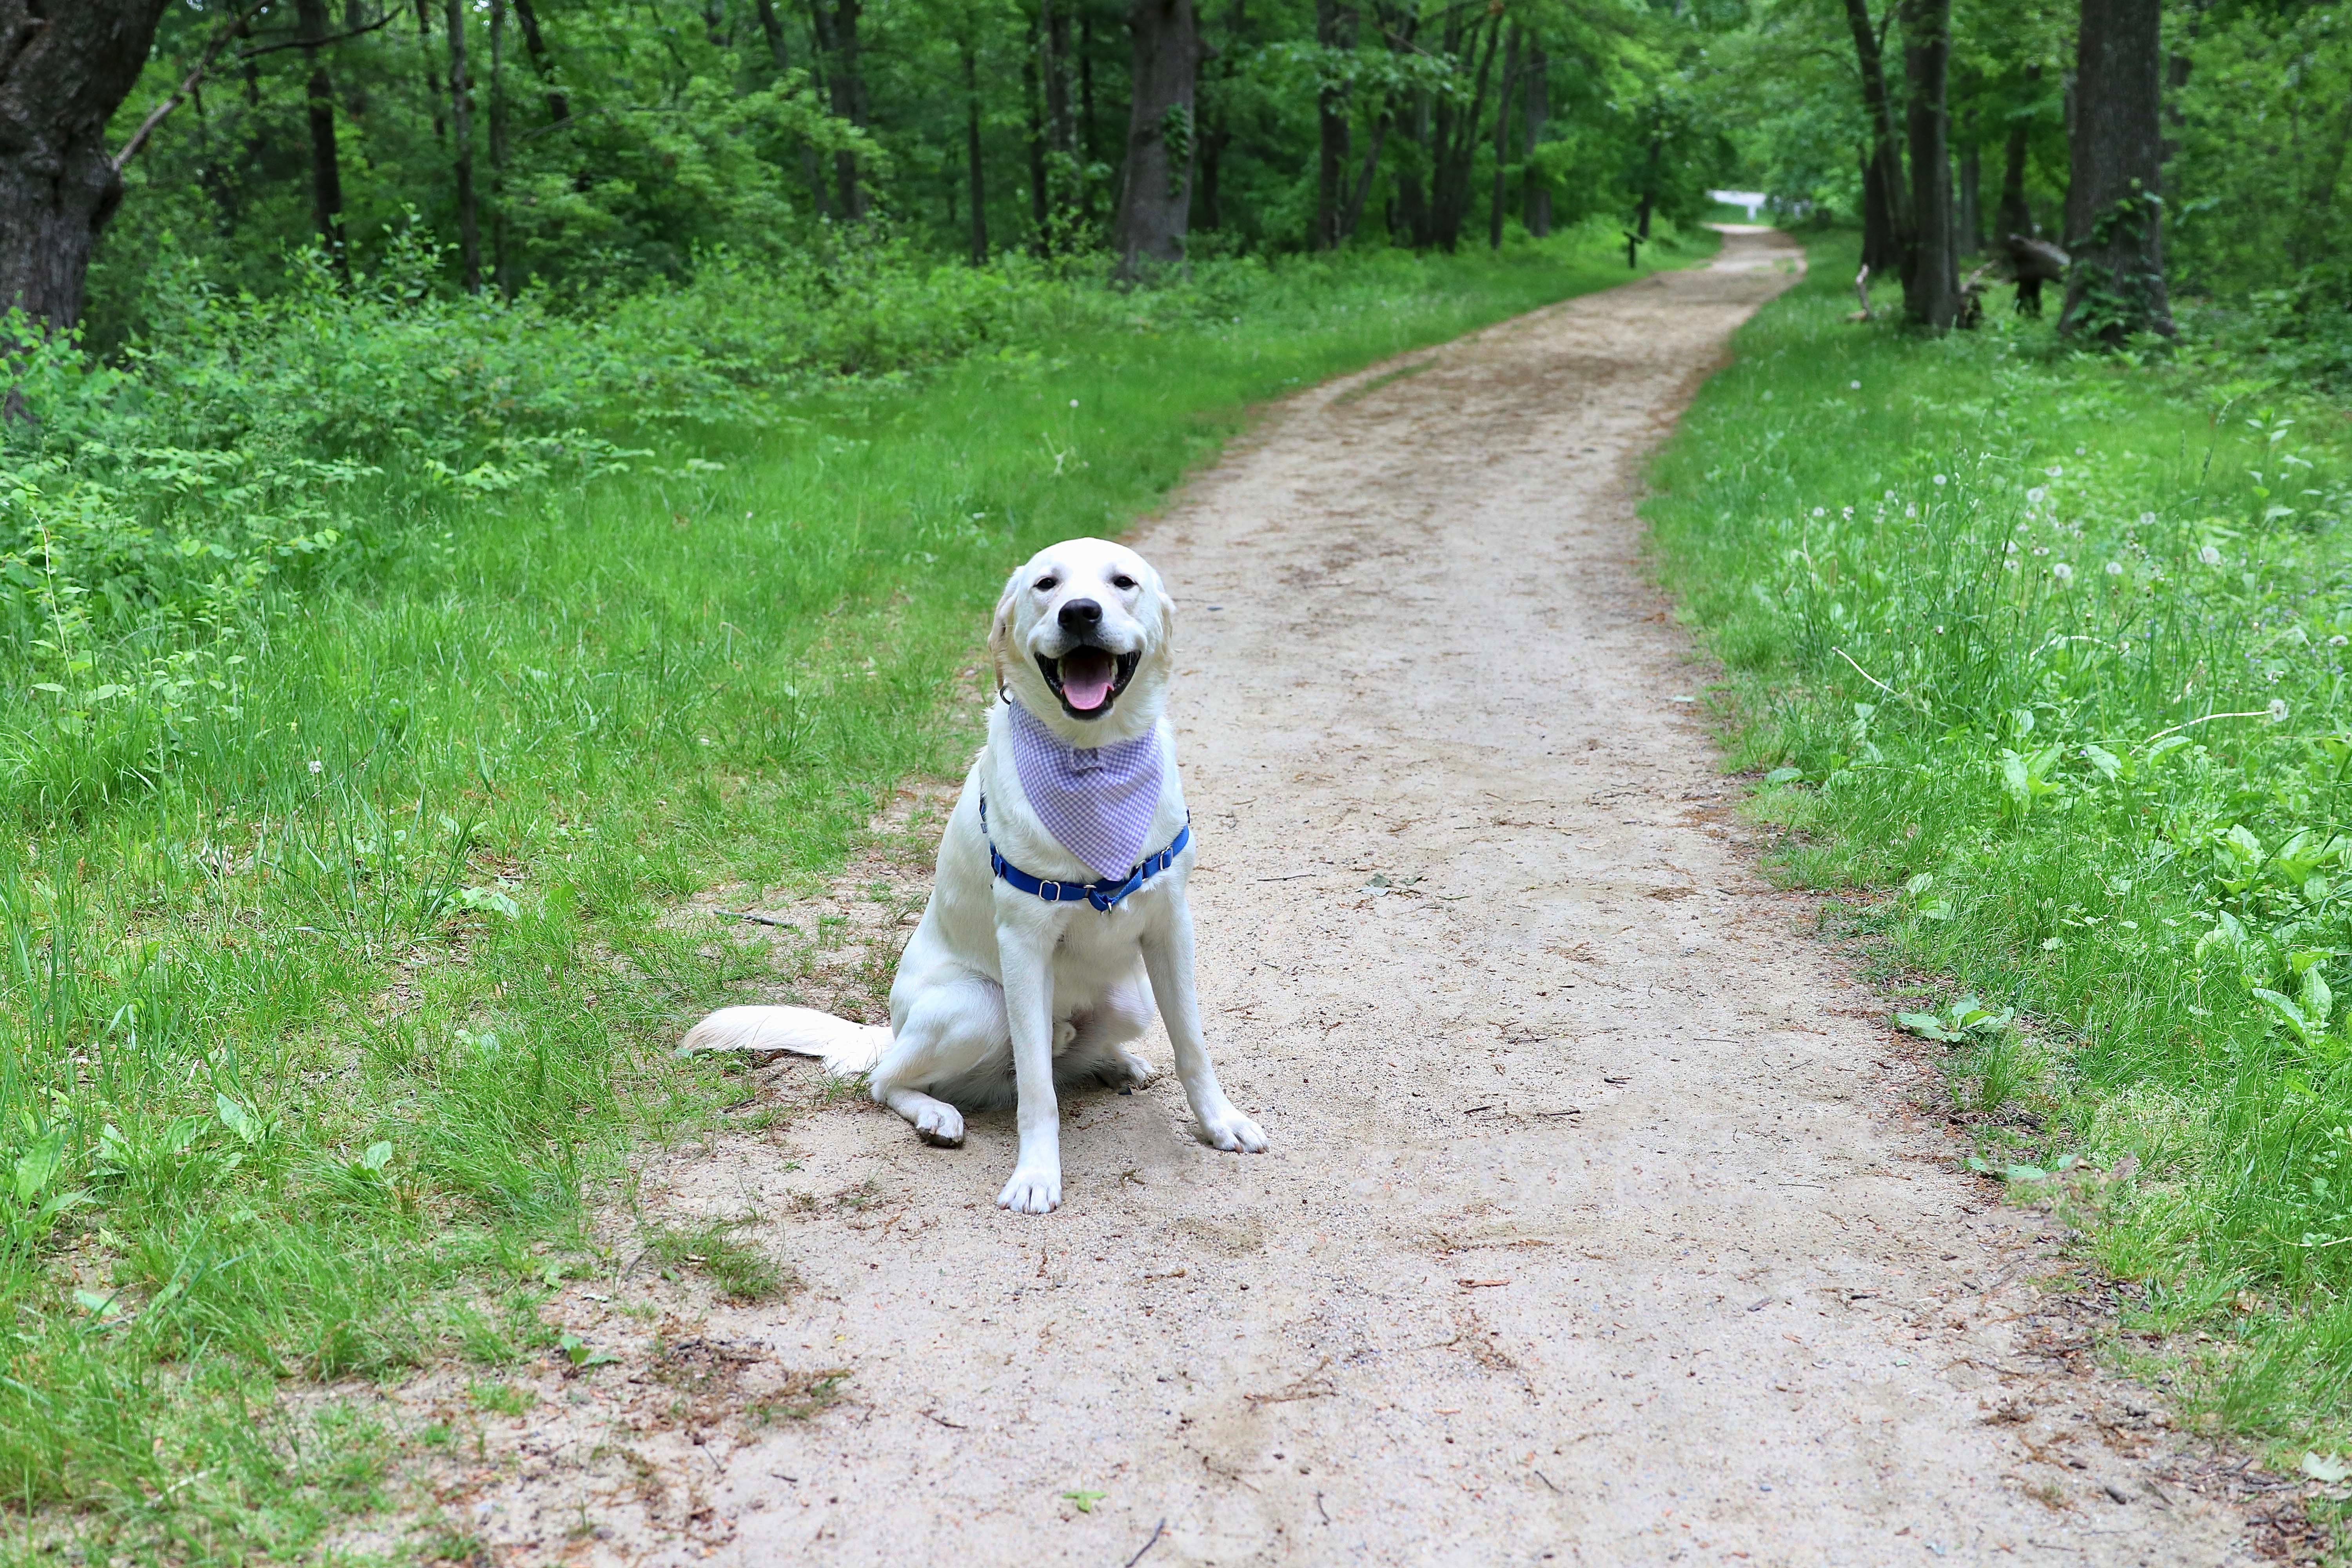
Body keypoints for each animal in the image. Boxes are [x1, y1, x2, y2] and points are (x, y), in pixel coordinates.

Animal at [682, 541, 1270, 1213]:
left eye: (1123, 583)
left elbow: (1193, 1046)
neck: (1092, 759)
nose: (1081, 612)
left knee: (1070, 1053)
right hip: (979, 1007)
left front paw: (1220, 1122)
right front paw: (1037, 1174)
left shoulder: (1171, 925)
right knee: (890, 1081)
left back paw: (1113, 1063)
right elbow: (1038, 1093)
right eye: (1047, 585)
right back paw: (937, 1114)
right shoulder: (1024, 943)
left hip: (1132, 999)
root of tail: (891, 1030)